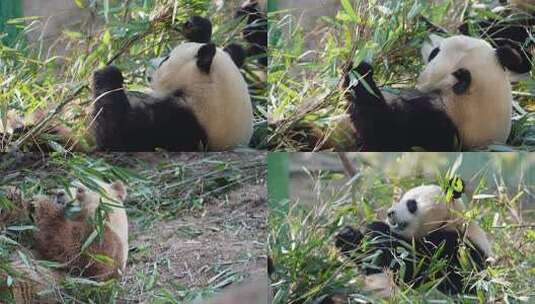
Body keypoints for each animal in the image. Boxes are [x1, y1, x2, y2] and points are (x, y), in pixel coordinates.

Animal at [336, 180, 494, 296]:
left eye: (411, 203)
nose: (390, 213)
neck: (450, 221)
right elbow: (373, 262)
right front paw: (348, 236)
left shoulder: (460, 248)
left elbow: (420, 271)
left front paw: (377, 229)